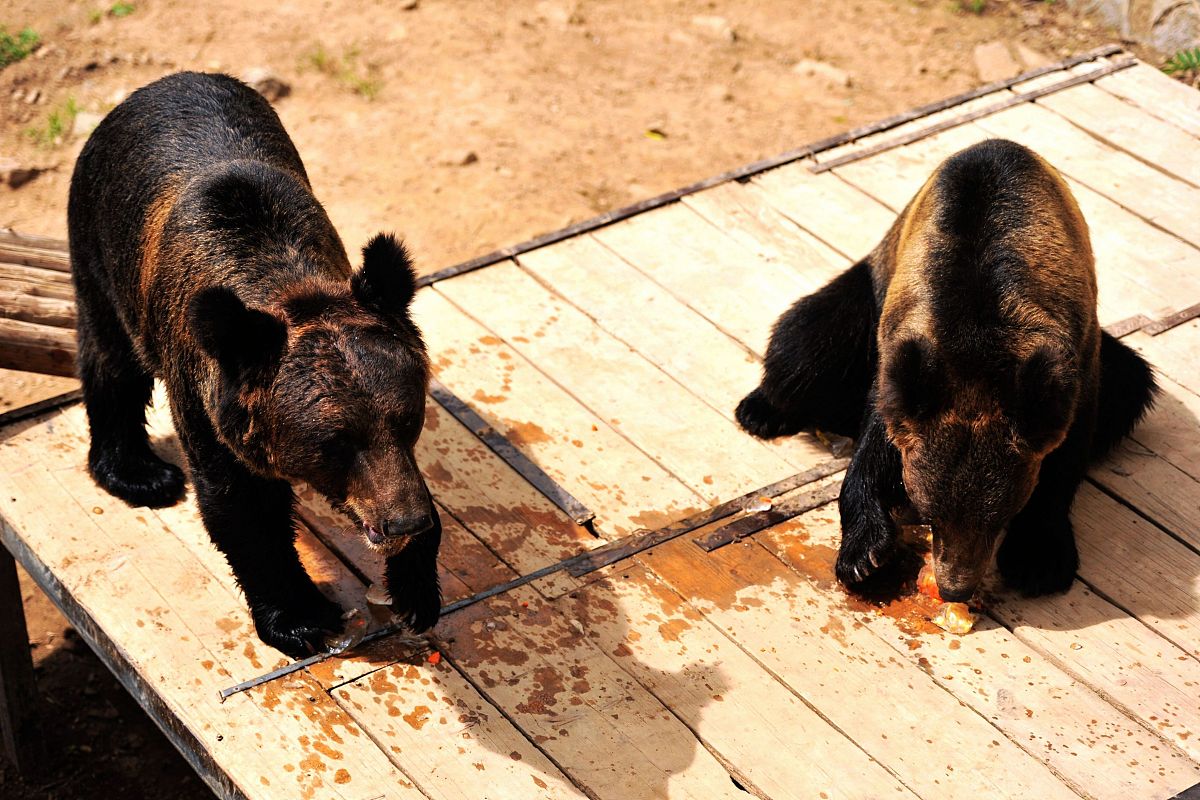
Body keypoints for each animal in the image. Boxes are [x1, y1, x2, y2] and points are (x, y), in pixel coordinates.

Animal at [68, 72, 442, 658]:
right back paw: (139, 473)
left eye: (408, 419)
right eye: (336, 442)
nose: (404, 521)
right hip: (100, 247)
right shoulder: (206, 395)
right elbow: (242, 508)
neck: (280, 275)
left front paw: (414, 588)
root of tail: (157, 84)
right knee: (111, 361)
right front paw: (301, 617)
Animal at [737, 138, 1156, 603]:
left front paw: (1038, 558)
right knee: (801, 348)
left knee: (1132, 383)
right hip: (865, 292)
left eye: (999, 517)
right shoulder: (901, 346)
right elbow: (876, 433)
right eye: (931, 514)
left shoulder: (1074, 357)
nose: (955, 587)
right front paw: (866, 555)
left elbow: (1068, 448)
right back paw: (760, 410)